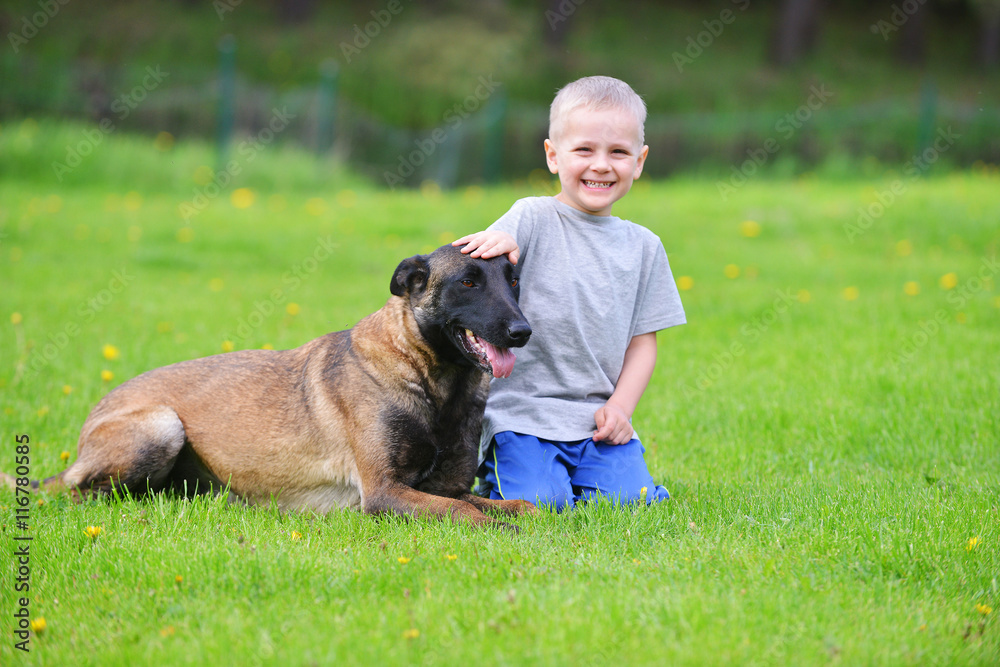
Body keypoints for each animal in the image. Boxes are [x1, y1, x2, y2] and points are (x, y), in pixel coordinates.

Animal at [19, 245, 536, 532]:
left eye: (513, 281)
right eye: (468, 281)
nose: (523, 331)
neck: (430, 381)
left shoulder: (446, 488)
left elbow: (522, 505)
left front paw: (528, 517)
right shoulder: (384, 493)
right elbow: (469, 514)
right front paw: (501, 530)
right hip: (161, 426)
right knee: (84, 494)